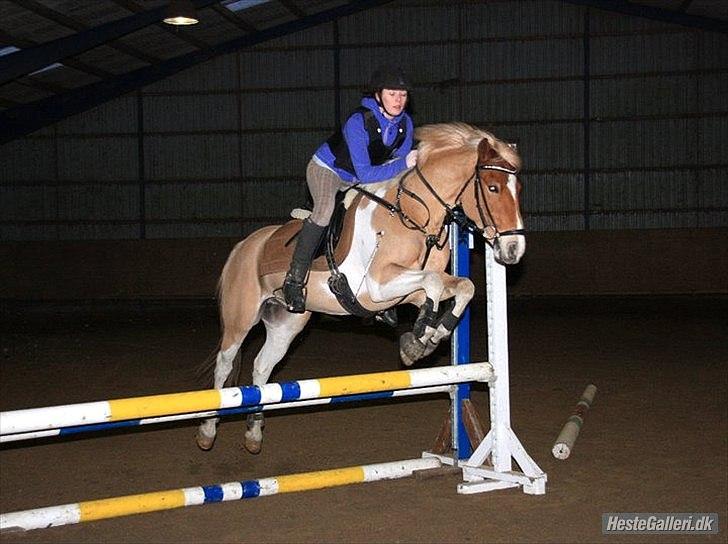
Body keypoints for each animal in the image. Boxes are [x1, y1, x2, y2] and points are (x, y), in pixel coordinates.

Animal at [196, 123, 528, 454]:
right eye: (493, 188)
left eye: (519, 189)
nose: (514, 249)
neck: (414, 213)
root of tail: (246, 245)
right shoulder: (378, 286)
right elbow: (434, 284)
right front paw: (418, 339)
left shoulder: (408, 290)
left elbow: (462, 287)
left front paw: (430, 336)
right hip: (242, 319)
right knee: (225, 365)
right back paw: (208, 430)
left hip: (286, 323)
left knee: (262, 367)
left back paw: (253, 433)